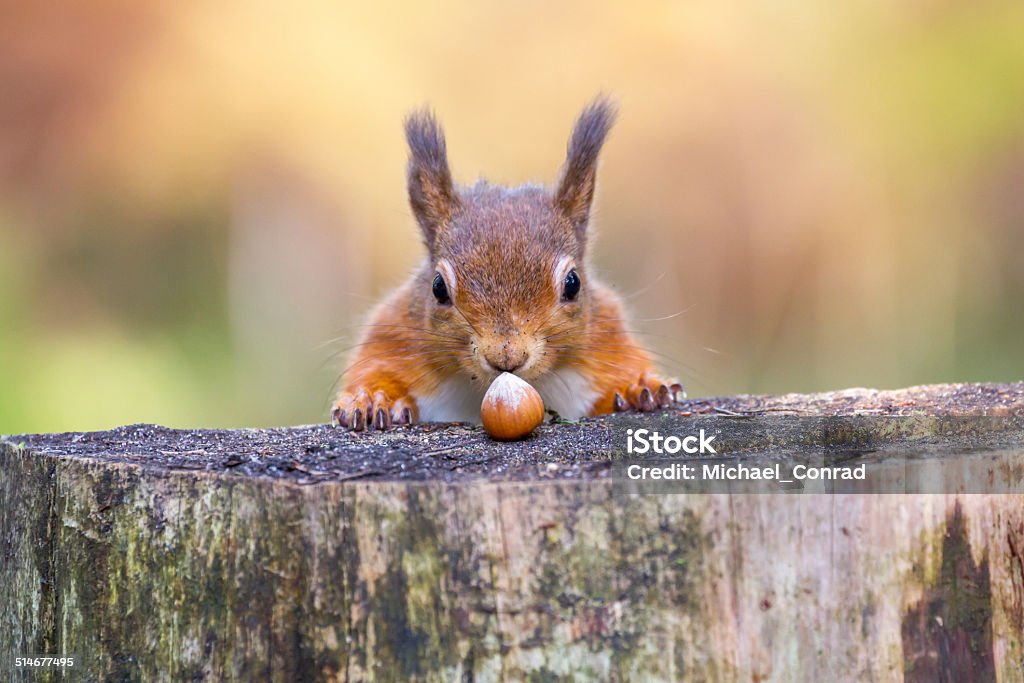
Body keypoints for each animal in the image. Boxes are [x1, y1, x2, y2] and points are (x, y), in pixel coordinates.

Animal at [333, 98, 679, 430]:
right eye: (438, 288)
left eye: (573, 284)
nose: (506, 356)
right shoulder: (395, 336)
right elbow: (376, 367)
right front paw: (372, 399)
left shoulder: (607, 335)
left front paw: (639, 388)